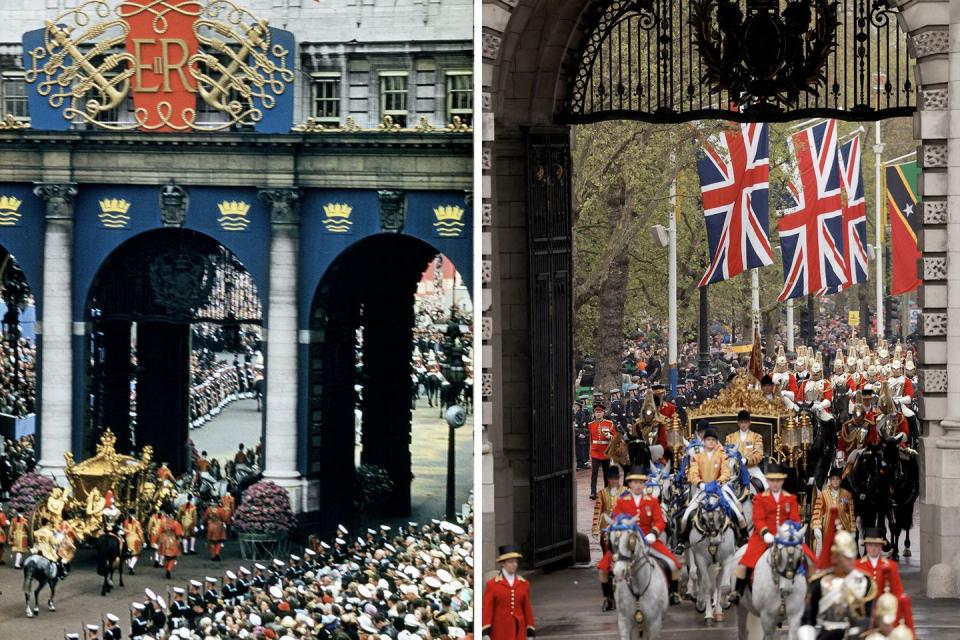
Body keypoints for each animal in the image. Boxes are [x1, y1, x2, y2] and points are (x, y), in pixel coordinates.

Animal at [688, 484, 736, 624]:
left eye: (720, 515)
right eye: (703, 518)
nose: (716, 541)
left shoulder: (727, 558)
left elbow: (724, 585)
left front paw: (722, 605)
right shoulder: (701, 560)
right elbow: (706, 586)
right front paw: (708, 614)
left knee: (718, 581)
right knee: (698, 576)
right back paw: (700, 602)